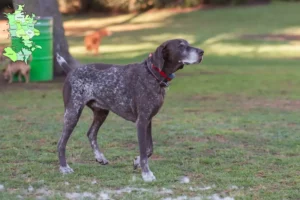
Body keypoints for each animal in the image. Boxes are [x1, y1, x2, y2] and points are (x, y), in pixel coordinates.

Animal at [56, 38, 204, 182]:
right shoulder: (141, 121)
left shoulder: (148, 120)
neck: (152, 74)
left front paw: (137, 162)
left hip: (101, 112)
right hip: (73, 113)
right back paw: (64, 168)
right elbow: (144, 152)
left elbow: (149, 149)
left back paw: (99, 157)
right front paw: (146, 174)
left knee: (91, 133)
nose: (202, 52)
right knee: (61, 143)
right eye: (181, 46)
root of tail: (71, 71)